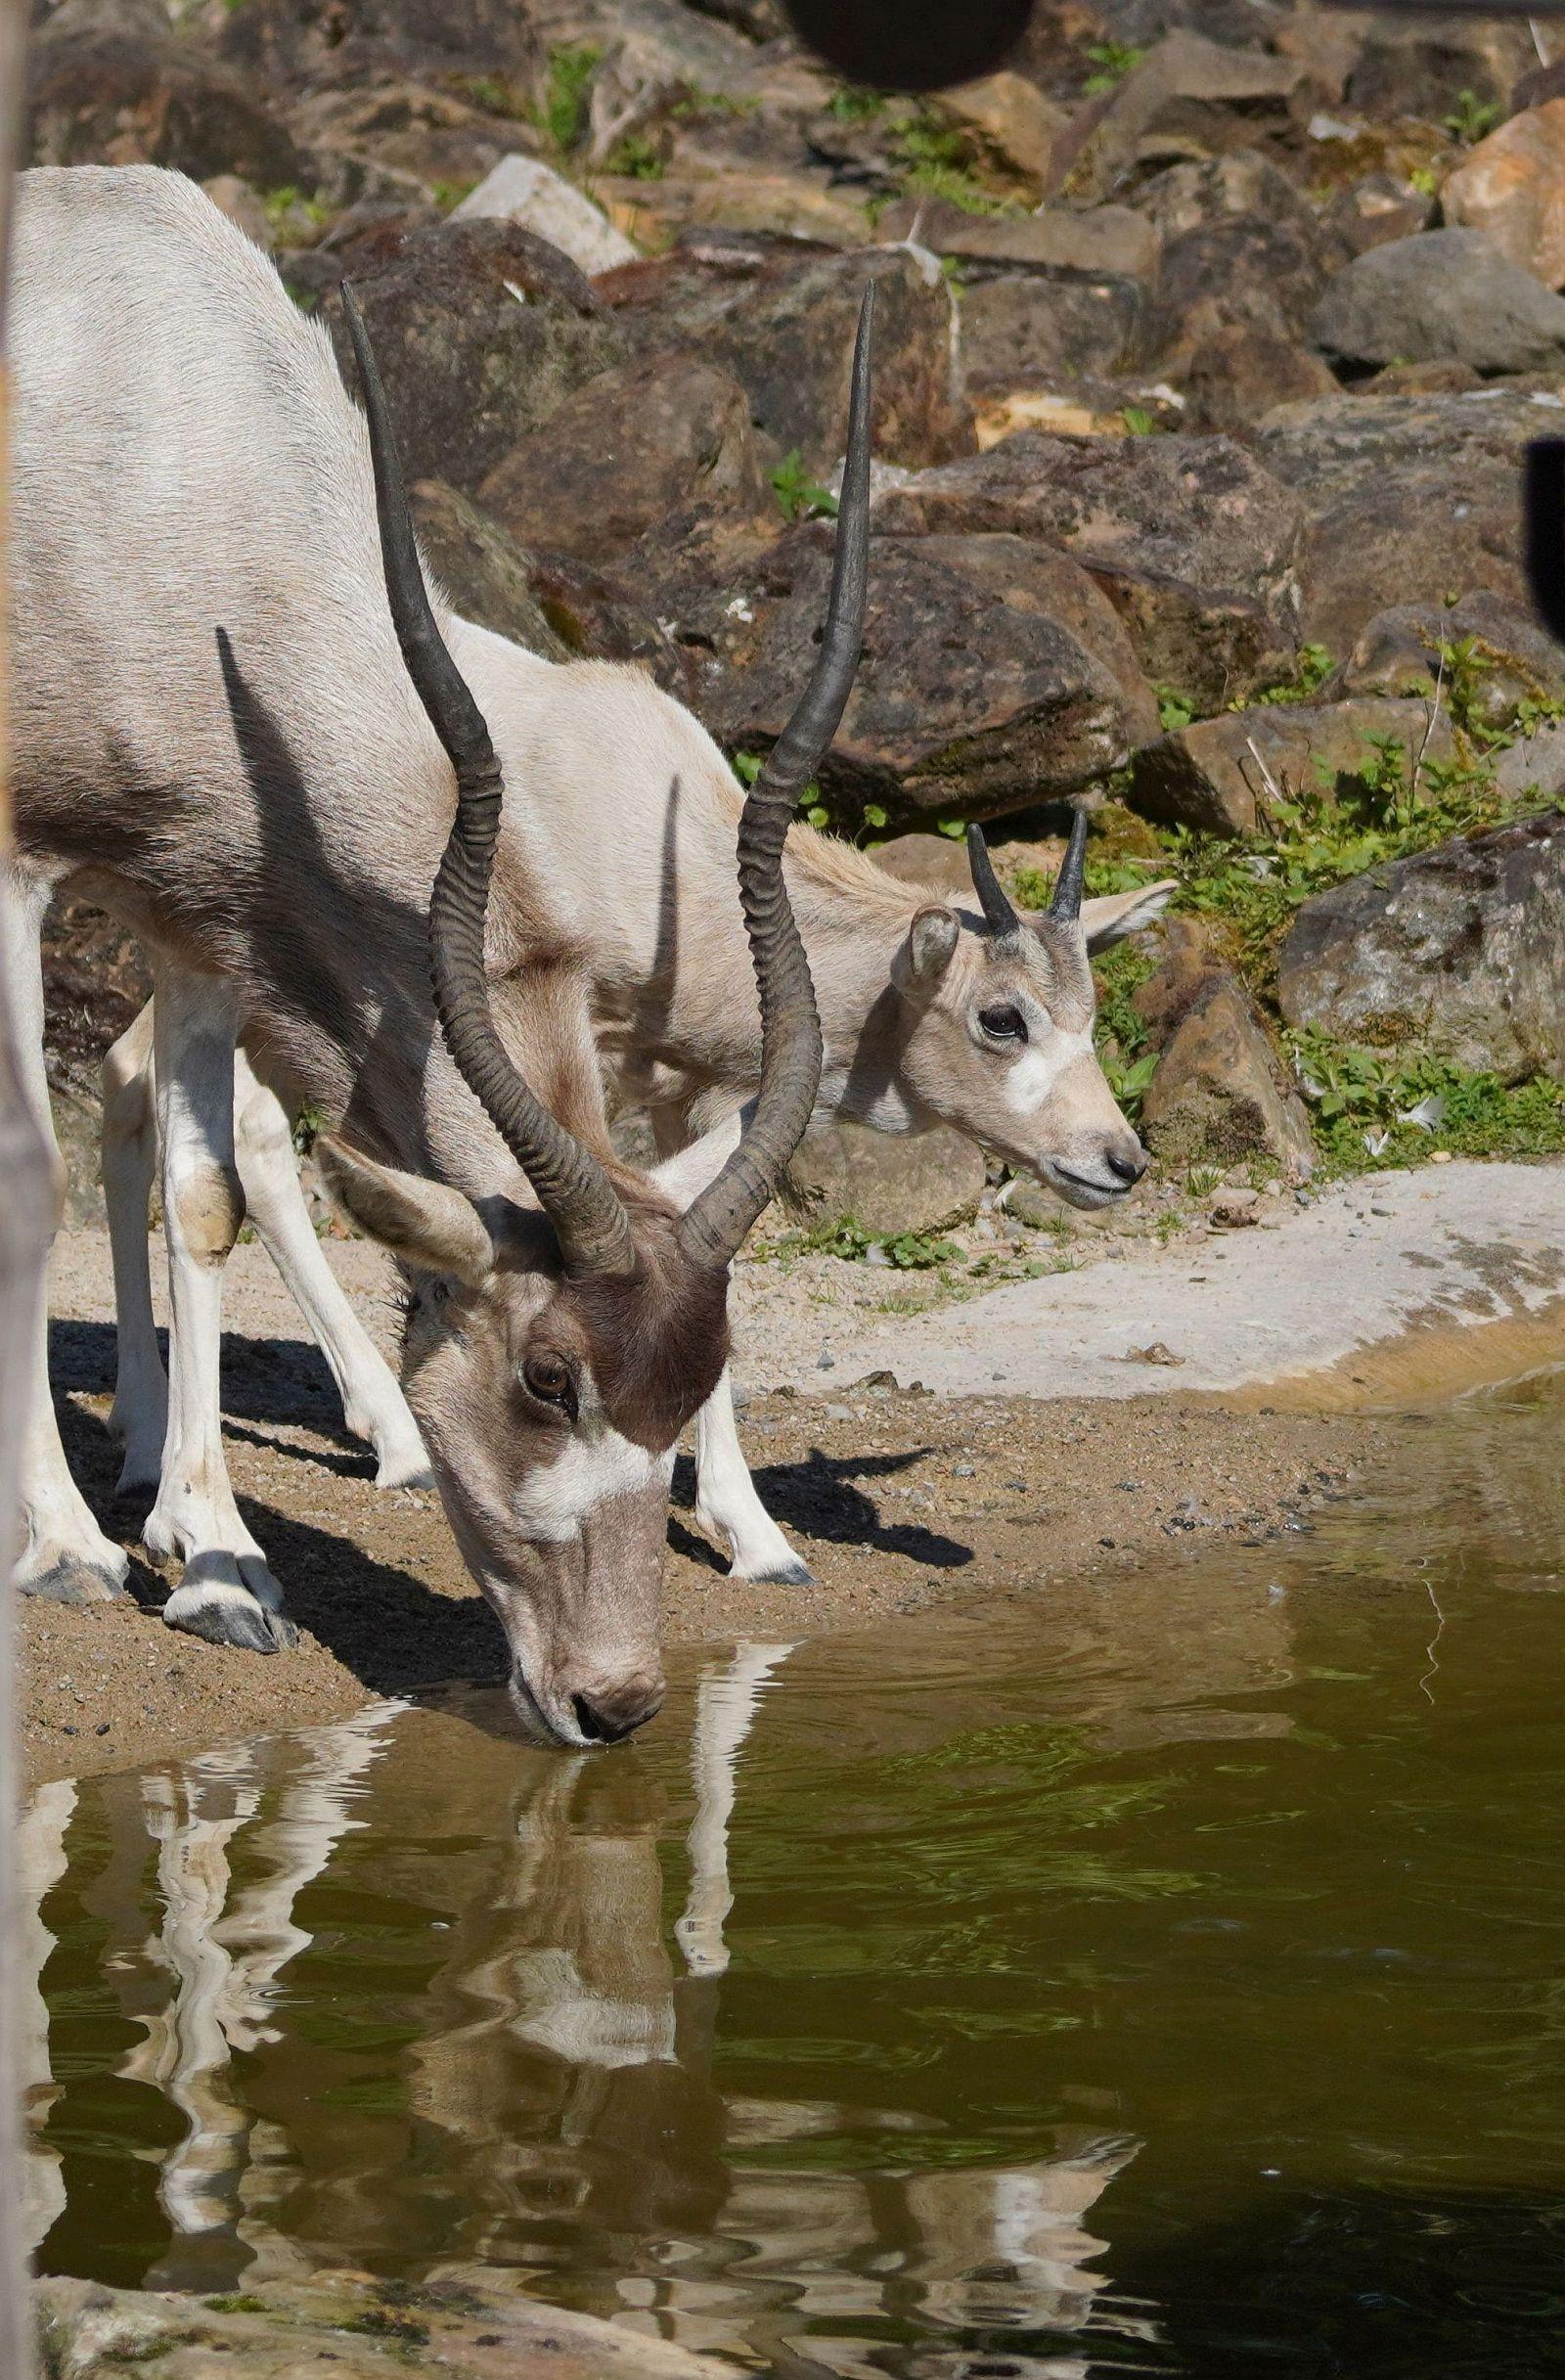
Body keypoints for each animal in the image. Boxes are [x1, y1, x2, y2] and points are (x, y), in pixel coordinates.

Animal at [12, 162, 866, 1732]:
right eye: (546, 1377)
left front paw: (216, 1561)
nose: (614, 1702)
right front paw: (62, 1545)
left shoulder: (201, 896)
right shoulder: (22, 862)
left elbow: (207, 1192)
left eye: (696, 1376)